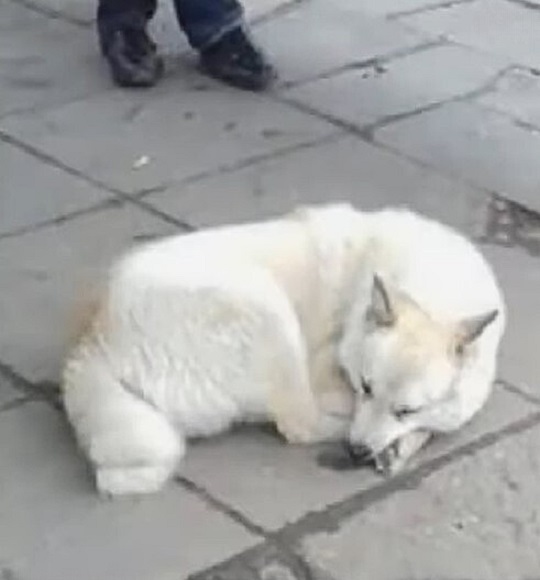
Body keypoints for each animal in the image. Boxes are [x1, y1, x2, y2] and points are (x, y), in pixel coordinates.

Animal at [62, 204, 506, 494]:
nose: (356, 451)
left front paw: (402, 444)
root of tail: (93, 342)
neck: (434, 290)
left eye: (406, 409)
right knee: (299, 423)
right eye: (364, 387)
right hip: (267, 308)